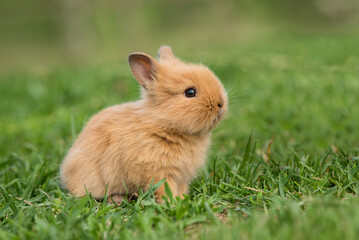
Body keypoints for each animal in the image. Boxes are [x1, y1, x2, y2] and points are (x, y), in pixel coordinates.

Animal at [59, 46, 228, 203]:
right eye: (190, 92)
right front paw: (173, 203)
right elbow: (164, 190)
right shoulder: (159, 173)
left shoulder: (180, 177)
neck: (161, 123)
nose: (220, 104)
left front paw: (182, 200)